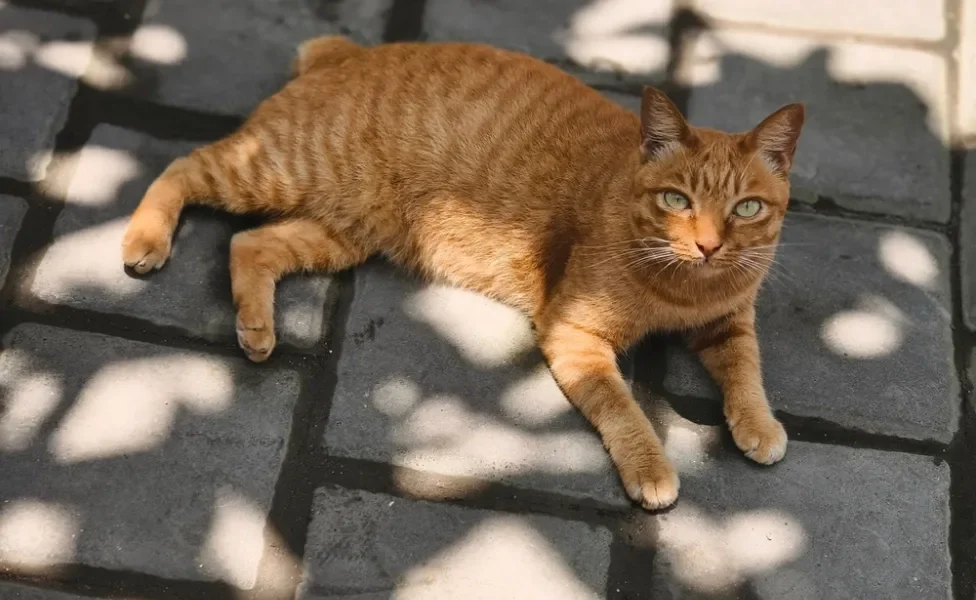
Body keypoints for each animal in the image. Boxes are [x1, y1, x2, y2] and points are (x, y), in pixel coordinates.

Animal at [120, 35, 800, 508]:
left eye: (747, 208)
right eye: (677, 200)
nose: (709, 245)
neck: (681, 290)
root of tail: (347, 52)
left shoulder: (729, 322)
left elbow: (748, 371)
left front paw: (759, 424)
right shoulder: (575, 336)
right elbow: (623, 410)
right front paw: (652, 468)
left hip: (341, 233)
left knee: (249, 245)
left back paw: (257, 329)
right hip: (275, 170)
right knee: (183, 167)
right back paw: (144, 238)